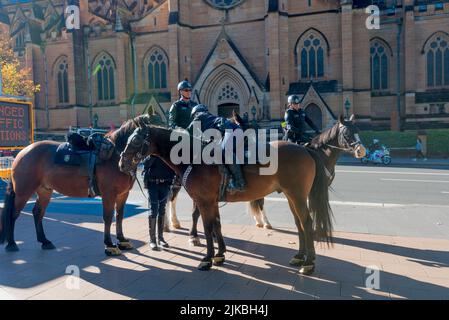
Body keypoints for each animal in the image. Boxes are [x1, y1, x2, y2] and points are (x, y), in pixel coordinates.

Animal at [0, 115, 152, 255]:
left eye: (136, 140)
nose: (123, 162)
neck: (113, 156)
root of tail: (22, 152)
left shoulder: (123, 194)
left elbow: (119, 216)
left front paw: (122, 240)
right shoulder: (109, 193)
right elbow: (108, 217)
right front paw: (109, 245)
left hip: (44, 191)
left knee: (37, 213)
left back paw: (45, 241)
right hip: (23, 192)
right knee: (13, 214)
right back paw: (12, 244)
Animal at [119, 114, 364, 274]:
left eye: (136, 139)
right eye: (128, 139)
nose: (122, 162)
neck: (195, 157)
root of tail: (304, 149)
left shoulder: (205, 202)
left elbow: (209, 228)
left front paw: (208, 258)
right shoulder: (211, 202)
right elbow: (216, 226)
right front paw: (219, 254)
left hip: (296, 195)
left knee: (306, 222)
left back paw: (309, 262)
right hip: (292, 196)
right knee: (299, 223)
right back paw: (299, 256)